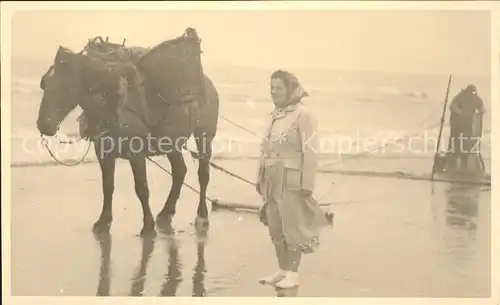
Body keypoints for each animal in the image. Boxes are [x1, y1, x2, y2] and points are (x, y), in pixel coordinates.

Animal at [36, 40, 220, 236]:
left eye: (65, 87)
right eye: (44, 84)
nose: (43, 125)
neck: (112, 103)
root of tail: (208, 84)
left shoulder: (136, 154)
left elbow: (142, 189)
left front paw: (147, 226)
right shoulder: (104, 153)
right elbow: (108, 187)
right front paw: (104, 221)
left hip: (204, 136)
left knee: (203, 174)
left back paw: (201, 214)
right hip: (171, 143)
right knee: (180, 171)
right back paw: (166, 212)